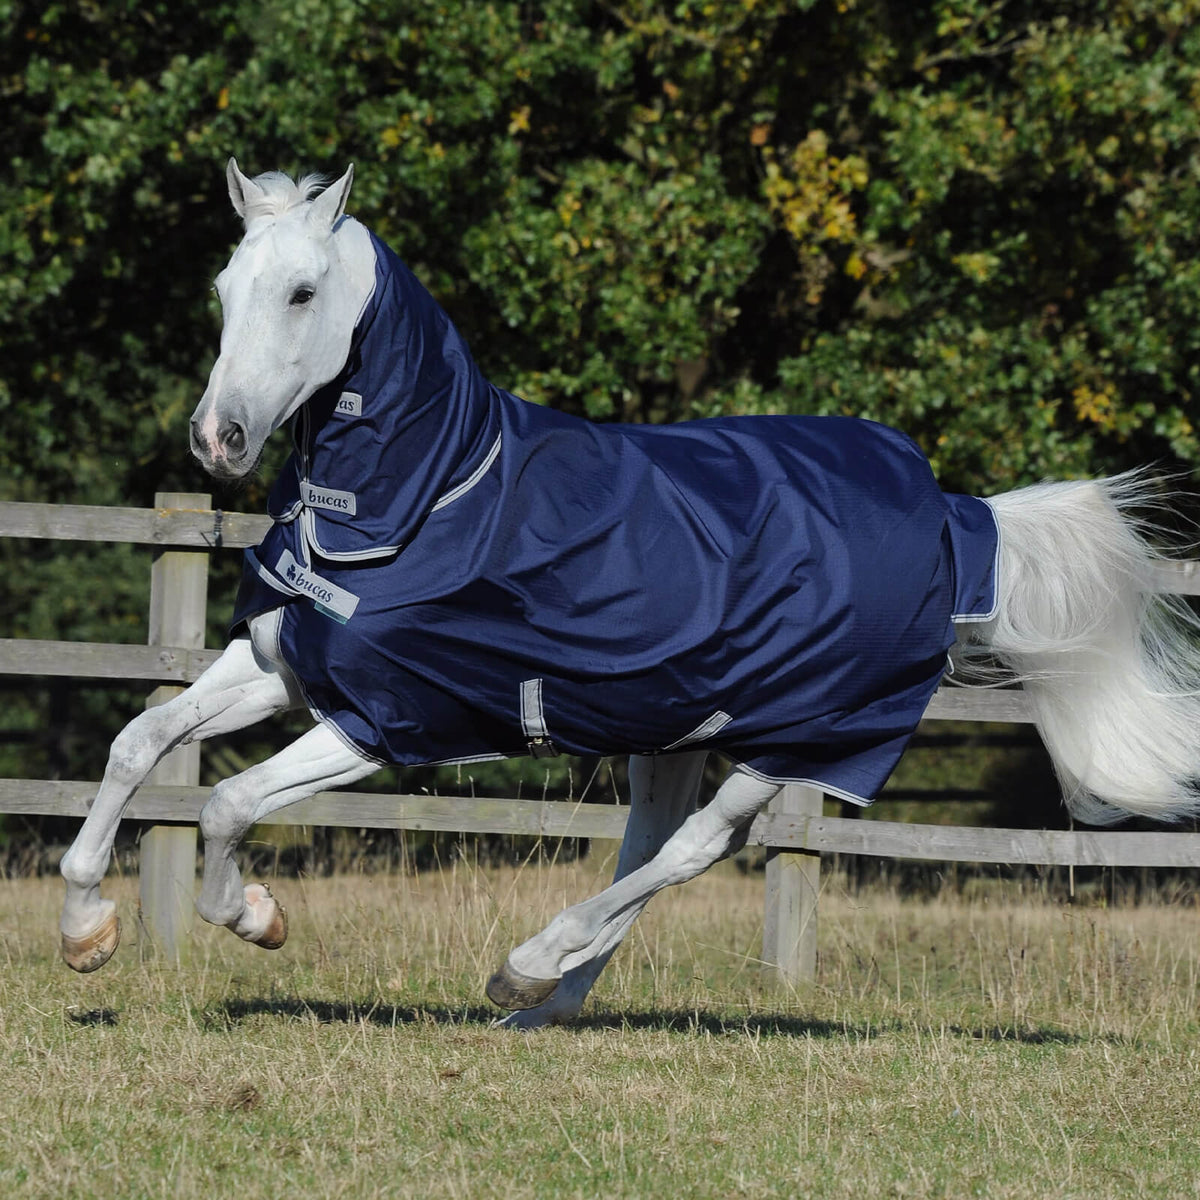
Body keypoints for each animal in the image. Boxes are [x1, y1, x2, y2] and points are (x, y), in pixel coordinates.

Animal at [57, 160, 1200, 1027]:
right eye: (222, 291)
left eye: (301, 292)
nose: (218, 439)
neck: (428, 495)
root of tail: (959, 516)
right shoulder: (284, 667)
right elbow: (137, 743)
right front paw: (85, 933)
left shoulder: (384, 721)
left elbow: (225, 801)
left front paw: (255, 918)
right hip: (676, 728)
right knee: (654, 848)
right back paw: (542, 1002)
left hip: (804, 735)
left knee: (695, 849)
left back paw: (528, 966)